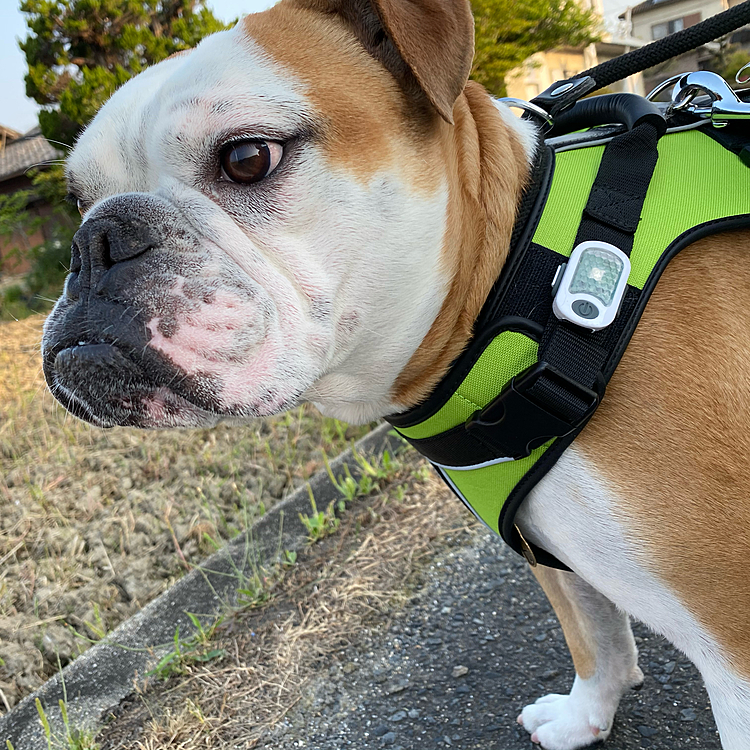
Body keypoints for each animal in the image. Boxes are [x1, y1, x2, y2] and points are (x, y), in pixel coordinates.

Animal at [39, 0, 750, 748]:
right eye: (80, 199)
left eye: (247, 157)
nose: (95, 241)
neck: (521, 278)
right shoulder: (554, 557)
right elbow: (595, 635)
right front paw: (585, 716)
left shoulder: (735, 649)